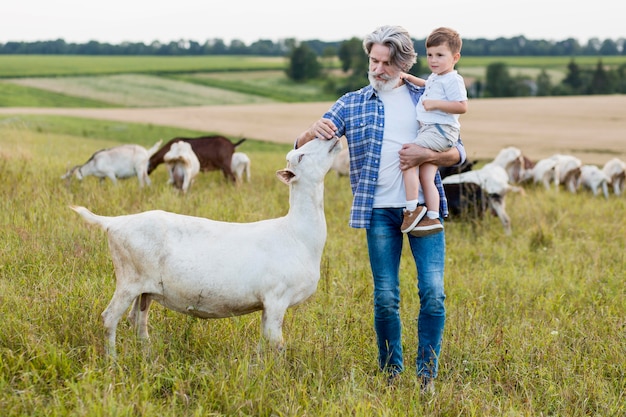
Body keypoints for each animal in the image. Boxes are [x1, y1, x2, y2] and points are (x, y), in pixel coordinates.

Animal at [69, 137, 342, 358]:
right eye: (301, 156)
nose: (333, 138)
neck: (296, 233)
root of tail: (115, 222)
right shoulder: (277, 298)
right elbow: (276, 343)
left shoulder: (267, 304)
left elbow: (265, 341)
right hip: (128, 279)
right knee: (110, 318)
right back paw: (113, 360)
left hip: (144, 289)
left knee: (137, 320)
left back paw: (147, 354)